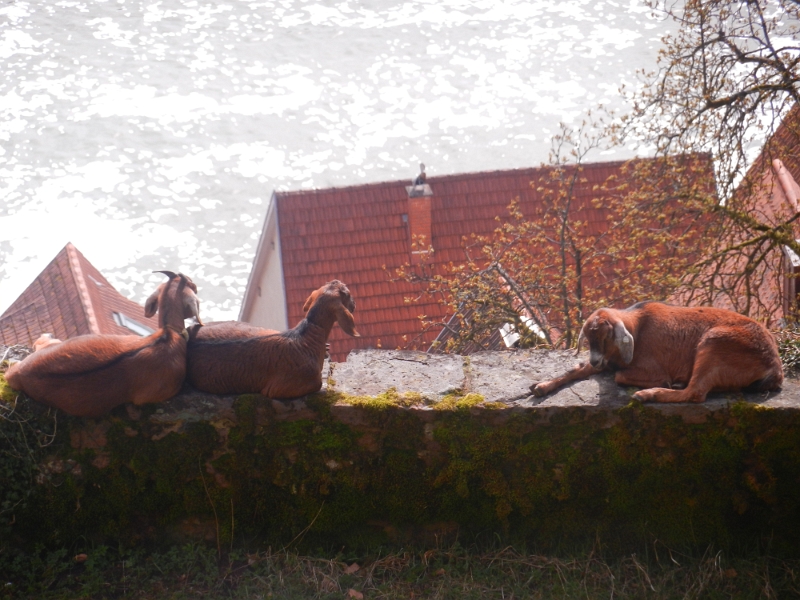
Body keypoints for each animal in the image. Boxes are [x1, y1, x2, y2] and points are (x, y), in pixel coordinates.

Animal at [528, 300, 784, 404]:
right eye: (589, 340)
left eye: (606, 336)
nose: (596, 360)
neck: (637, 327)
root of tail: (774, 366)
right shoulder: (607, 360)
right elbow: (576, 369)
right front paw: (541, 387)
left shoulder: (650, 368)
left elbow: (619, 376)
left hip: (715, 343)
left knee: (696, 393)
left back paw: (648, 394)